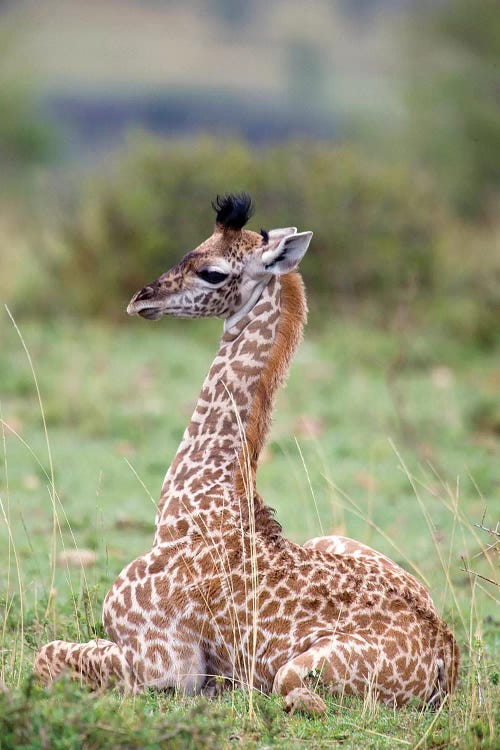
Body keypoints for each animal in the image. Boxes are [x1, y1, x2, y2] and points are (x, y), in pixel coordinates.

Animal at [33, 195, 458, 716]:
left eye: (212, 272)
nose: (141, 298)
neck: (189, 505)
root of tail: (447, 657)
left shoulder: (164, 668)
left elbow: (49, 654)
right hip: (334, 539)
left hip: (299, 674)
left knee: (299, 697)